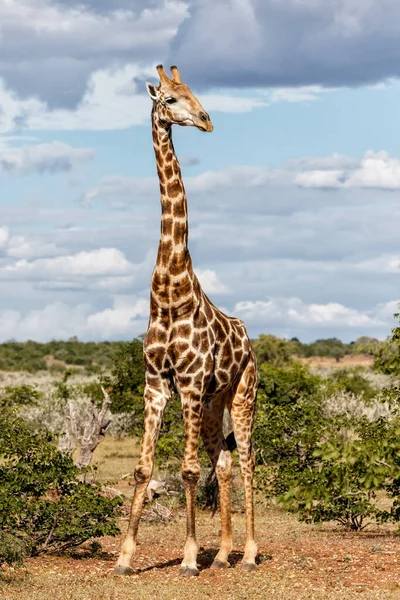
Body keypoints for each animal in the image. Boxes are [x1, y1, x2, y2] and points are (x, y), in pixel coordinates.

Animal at [115, 64, 260, 576]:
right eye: (171, 99)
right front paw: (124, 558)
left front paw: (189, 557)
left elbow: (188, 469)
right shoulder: (156, 383)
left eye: (194, 92)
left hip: (242, 394)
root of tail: (250, 342)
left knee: (248, 460)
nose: (207, 120)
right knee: (225, 462)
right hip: (216, 404)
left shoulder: (192, 383)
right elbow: (143, 468)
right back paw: (224, 555)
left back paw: (248, 553)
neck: (169, 292)